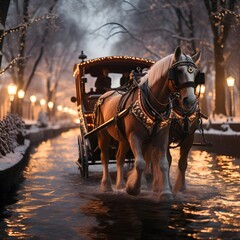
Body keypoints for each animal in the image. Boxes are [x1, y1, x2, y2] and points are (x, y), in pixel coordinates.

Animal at [94, 47, 201, 201]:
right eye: (178, 71)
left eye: (196, 74)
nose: (190, 101)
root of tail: (103, 95)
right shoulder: (135, 137)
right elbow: (140, 163)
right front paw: (133, 188)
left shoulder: (166, 137)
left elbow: (165, 163)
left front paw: (167, 192)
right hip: (103, 135)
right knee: (105, 158)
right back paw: (107, 185)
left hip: (123, 139)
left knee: (120, 158)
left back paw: (120, 185)